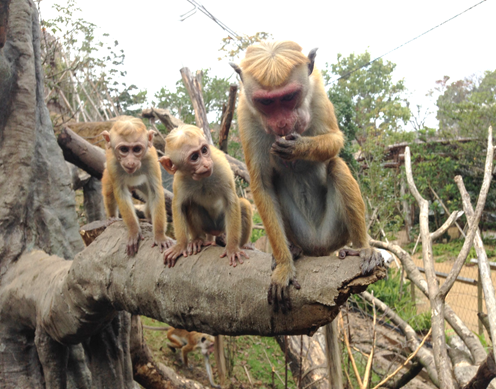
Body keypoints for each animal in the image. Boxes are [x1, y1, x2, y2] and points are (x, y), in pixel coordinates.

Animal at [101, 115, 173, 255]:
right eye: (124, 149)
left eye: (136, 149)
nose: (130, 162)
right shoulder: (112, 164)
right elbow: (120, 192)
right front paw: (134, 230)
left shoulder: (151, 159)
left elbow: (155, 192)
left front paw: (160, 235)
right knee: (108, 190)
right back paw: (112, 218)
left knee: (149, 198)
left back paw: (149, 218)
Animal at [159, 124, 252, 266]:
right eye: (194, 157)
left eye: (204, 150)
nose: (206, 164)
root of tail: (214, 230)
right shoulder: (180, 178)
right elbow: (179, 205)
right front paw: (180, 245)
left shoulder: (220, 165)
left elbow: (231, 200)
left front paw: (232, 248)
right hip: (208, 225)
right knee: (191, 205)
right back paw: (198, 240)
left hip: (221, 224)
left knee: (244, 205)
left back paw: (242, 245)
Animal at [231, 41, 386, 310]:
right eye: (266, 102)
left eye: (288, 97)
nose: (282, 124)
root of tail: (318, 247)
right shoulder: (245, 114)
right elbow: (263, 184)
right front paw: (284, 266)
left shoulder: (318, 91)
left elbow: (335, 140)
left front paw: (299, 146)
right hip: (300, 232)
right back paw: (293, 251)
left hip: (334, 232)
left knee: (337, 166)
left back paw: (362, 248)